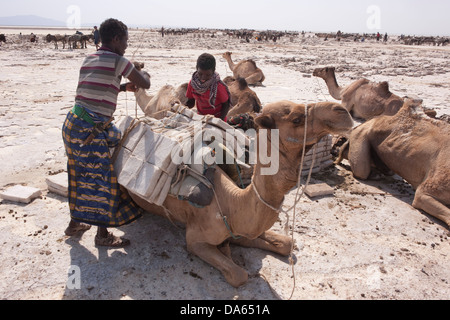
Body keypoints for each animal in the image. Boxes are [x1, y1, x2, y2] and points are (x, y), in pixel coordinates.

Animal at [125, 100, 354, 288]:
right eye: (296, 118)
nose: (342, 111)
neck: (232, 202)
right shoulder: (196, 241)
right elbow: (239, 275)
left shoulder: (243, 227)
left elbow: (286, 244)